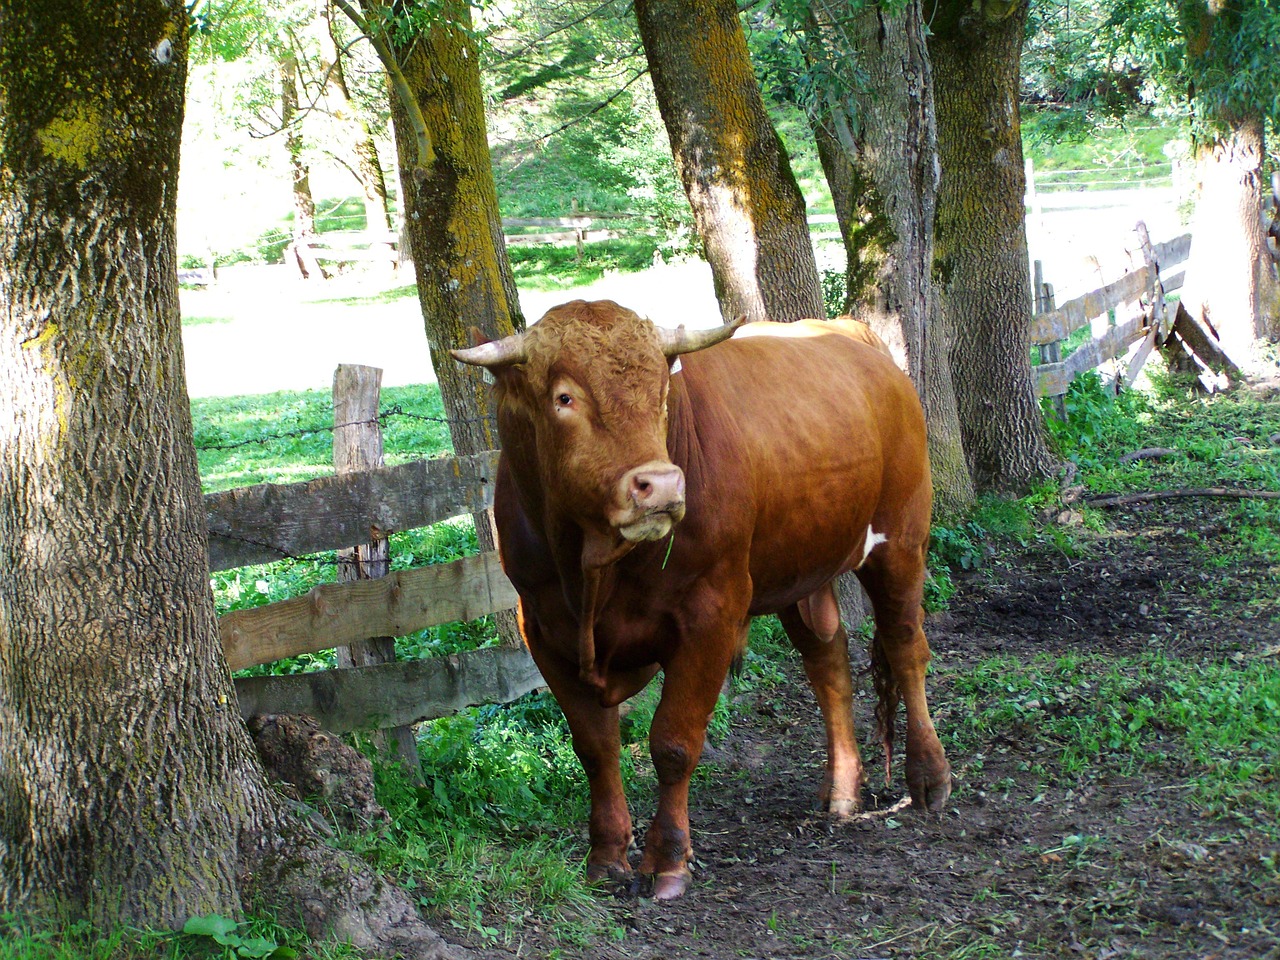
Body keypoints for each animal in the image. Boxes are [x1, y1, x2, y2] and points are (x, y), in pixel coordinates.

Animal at [458, 300, 952, 901]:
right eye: (564, 397)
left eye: (662, 394)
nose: (663, 486)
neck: (592, 576)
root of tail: (851, 334)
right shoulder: (543, 627)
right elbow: (595, 747)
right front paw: (606, 856)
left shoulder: (712, 613)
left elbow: (673, 743)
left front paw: (668, 861)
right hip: (802, 568)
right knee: (829, 663)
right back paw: (841, 793)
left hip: (901, 538)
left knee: (906, 648)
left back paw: (929, 779)